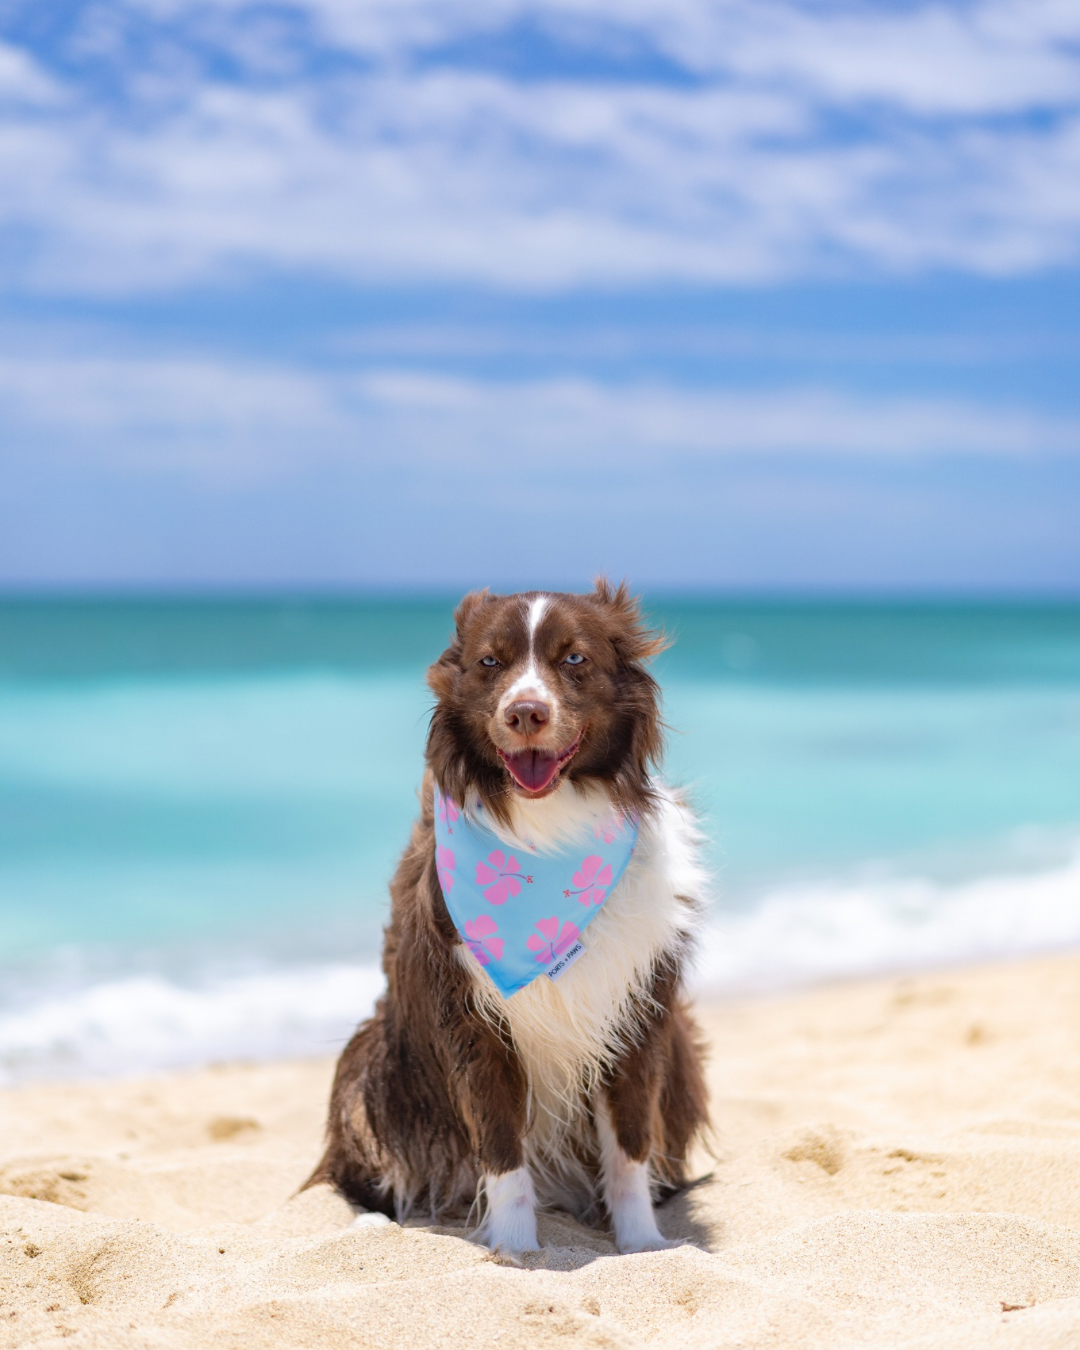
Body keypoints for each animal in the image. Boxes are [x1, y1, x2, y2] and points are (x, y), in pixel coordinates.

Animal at [303, 580, 707, 1252]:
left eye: (575, 658)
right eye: (491, 661)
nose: (525, 713)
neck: (547, 833)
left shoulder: (636, 1011)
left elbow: (629, 1145)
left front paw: (643, 1247)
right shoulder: (471, 1019)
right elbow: (501, 1152)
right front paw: (517, 1252)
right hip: (368, 1064)